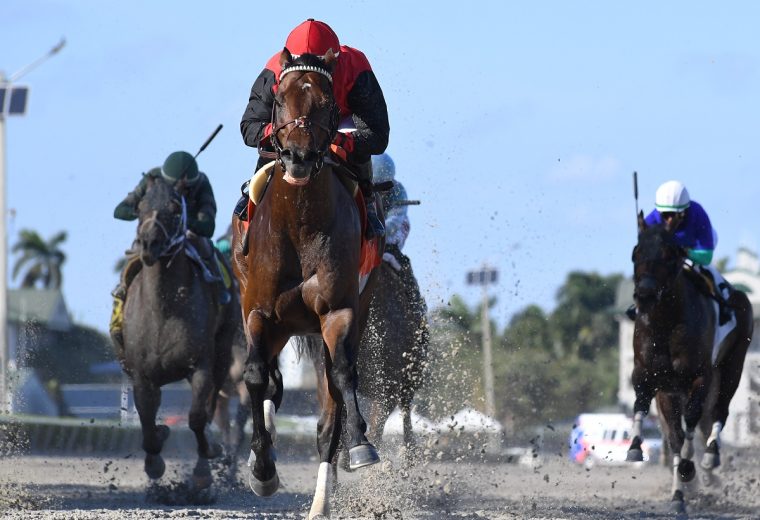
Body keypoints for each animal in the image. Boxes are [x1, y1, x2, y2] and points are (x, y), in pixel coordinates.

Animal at [117, 178, 238, 488]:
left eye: (174, 209)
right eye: (140, 208)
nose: (149, 244)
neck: (165, 309)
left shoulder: (201, 366)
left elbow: (197, 417)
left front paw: (205, 463)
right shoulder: (142, 376)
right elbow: (147, 423)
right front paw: (155, 459)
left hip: (223, 351)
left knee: (208, 408)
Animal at [230, 47, 386, 516]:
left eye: (326, 102)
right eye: (279, 98)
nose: (298, 157)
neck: (299, 222)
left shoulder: (338, 312)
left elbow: (342, 380)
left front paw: (360, 446)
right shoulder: (259, 313)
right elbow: (256, 377)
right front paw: (263, 470)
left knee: (328, 404)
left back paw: (320, 501)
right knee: (265, 383)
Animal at [624, 213, 756, 512]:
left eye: (669, 254)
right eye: (636, 253)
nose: (645, 295)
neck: (666, 323)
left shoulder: (700, 377)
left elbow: (690, 423)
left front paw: (688, 467)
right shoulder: (656, 381)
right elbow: (655, 419)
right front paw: (676, 494)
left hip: (732, 367)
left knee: (718, 412)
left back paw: (709, 457)